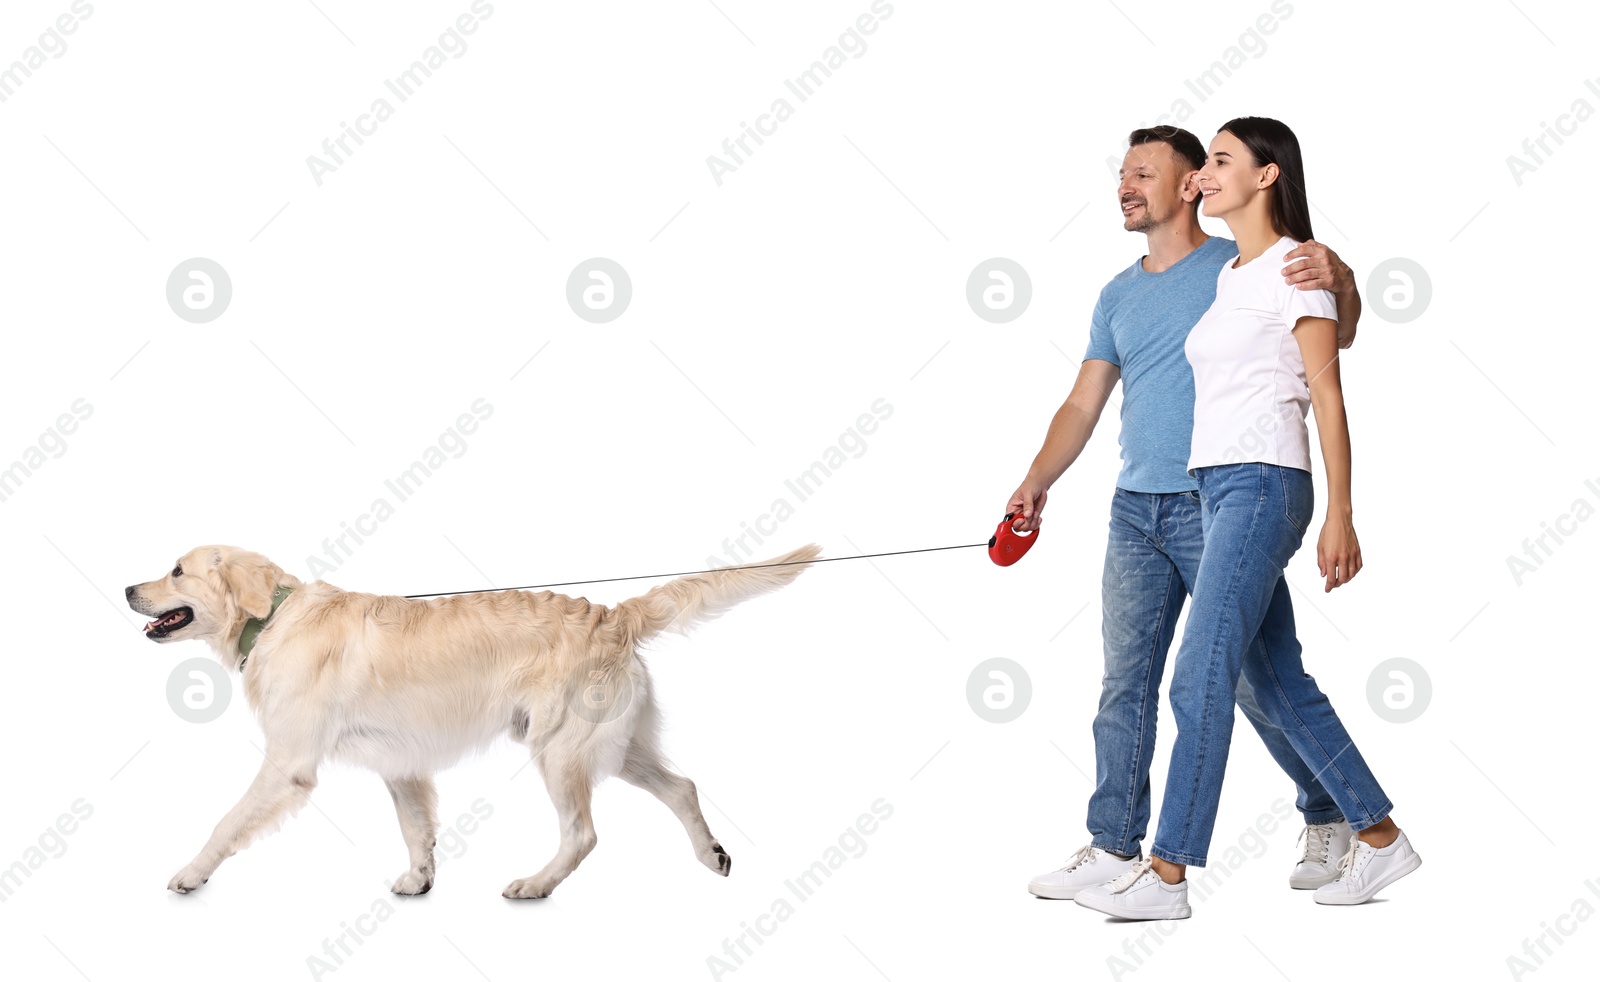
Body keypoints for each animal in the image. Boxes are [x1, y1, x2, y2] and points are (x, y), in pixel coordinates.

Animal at [126, 546, 819, 902]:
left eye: (178, 571)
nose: (129, 587)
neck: (271, 617)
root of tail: (612, 614)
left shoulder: (287, 763)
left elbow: (226, 821)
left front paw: (191, 873)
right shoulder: (402, 766)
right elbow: (416, 830)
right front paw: (420, 879)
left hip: (559, 749)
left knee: (584, 833)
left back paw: (537, 884)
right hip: (613, 747)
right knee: (683, 787)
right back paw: (712, 855)